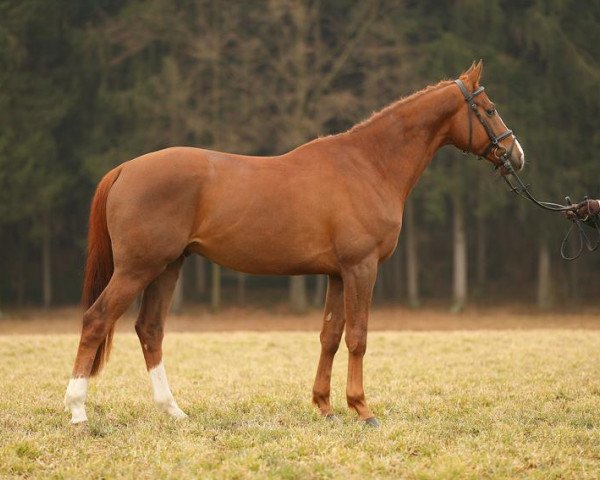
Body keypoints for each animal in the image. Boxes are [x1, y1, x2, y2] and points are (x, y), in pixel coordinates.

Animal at [65, 62, 524, 426]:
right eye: (489, 109)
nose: (516, 156)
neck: (368, 164)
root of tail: (125, 169)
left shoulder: (337, 274)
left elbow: (330, 336)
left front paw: (325, 407)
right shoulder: (361, 267)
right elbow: (358, 336)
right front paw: (362, 410)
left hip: (167, 266)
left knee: (150, 329)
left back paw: (173, 410)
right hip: (138, 268)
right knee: (97, 320)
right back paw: (78, 411)